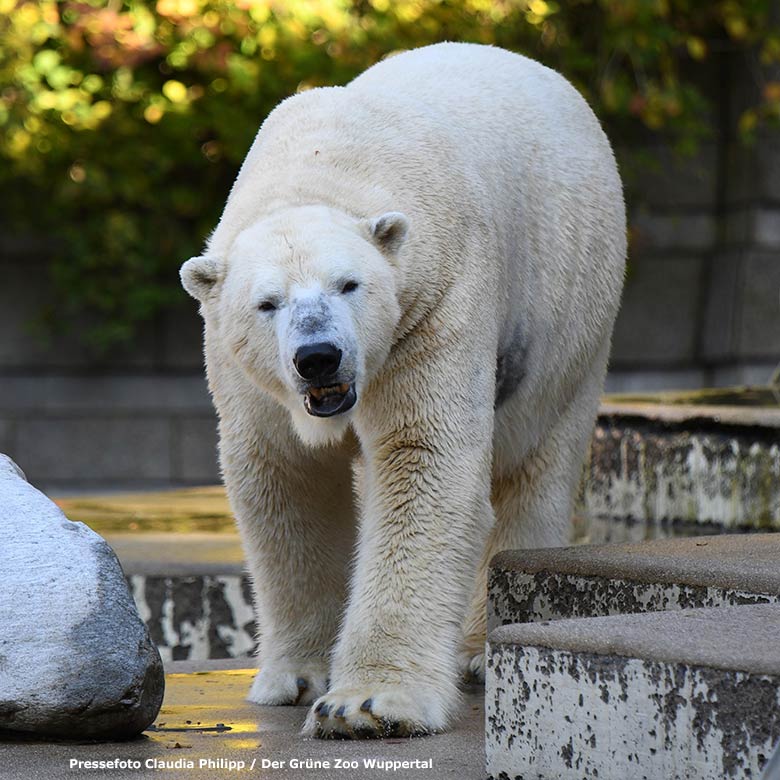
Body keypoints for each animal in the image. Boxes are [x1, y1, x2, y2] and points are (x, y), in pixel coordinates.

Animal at [180, 42, 624, 736]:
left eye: (349, 284)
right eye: (266, 303)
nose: (318, 357)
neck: (318, 168)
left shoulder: (434, 304)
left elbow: (423, 460)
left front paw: (365, 705)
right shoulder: (244, 370)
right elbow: (284, 477)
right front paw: (293, 677)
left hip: (571, 301)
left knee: (532, 461)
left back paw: (479, 651)